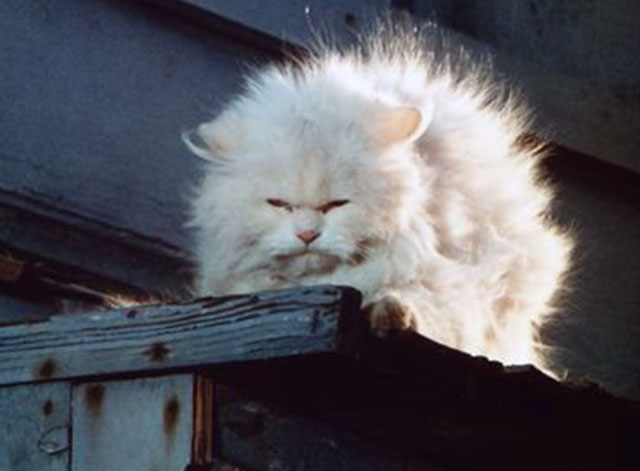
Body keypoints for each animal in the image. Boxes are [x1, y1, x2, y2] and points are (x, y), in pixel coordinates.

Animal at [182, 21, 572, 368]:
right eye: (279, 205)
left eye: (337, 204)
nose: (307, 234)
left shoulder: (455, 286)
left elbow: (416, 304)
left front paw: (388, 314)